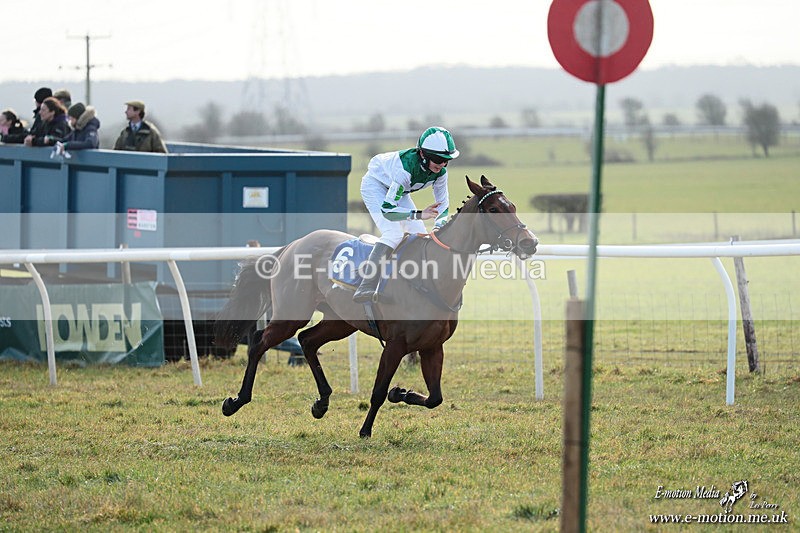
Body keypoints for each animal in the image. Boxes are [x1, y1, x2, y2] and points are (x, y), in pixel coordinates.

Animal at [214, 175, 538, 438]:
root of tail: (291, 245)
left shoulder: (433, 346)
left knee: (307, 341)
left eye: (512, 206)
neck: (432, 275)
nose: (529, 242)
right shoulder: (395, 344)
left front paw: (401, 392)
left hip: (339, 321)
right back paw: (236, 401)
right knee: (259, 342)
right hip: (292, 314)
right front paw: (366, 430)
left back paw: (322, 402)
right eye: (494, 209)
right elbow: (378, 391)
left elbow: (435, 398)